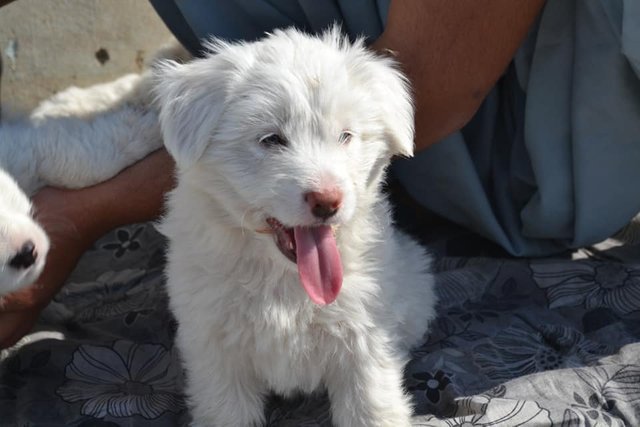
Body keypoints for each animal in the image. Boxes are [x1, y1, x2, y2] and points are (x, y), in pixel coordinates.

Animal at [156, 28, 438, 426]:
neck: (285, 280)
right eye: (271, 139)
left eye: (345, 136)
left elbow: (370, 406)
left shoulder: (365, 335)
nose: (327, 201)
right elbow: (226, 409)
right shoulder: (216, 346)